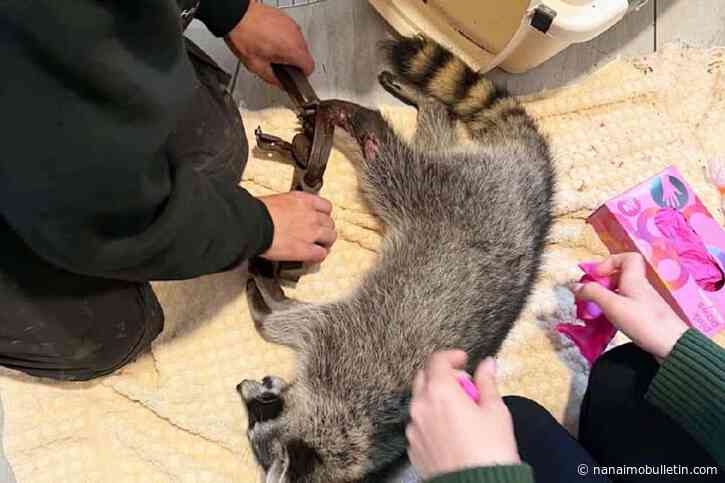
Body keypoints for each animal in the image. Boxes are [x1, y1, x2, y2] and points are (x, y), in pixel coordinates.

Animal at [238, 35, 555, 483]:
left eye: (261, 410)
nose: (241, 387)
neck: (340, 429)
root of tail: (535, 185)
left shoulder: (341, 346)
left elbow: (296, 321)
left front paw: (266, 298)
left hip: (453, 193)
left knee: (392, 167)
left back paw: (362, 121)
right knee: (433, 143)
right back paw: (430, 106)